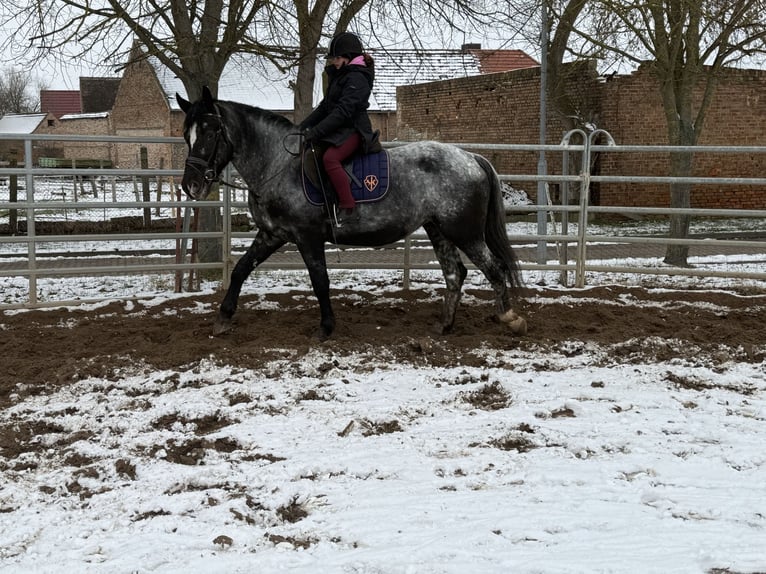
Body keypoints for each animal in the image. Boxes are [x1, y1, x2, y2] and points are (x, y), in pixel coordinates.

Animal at [178, 85, 528, 338]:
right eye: (186, 134)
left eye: (210, 131)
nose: (190, 185)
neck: (278, 165)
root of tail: (471, 157)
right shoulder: (272, 234)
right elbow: (240, 270)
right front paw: (223, 319)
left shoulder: (307, 237)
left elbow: (320, 280)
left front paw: (325, 328)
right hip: (438, 229)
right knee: (456, 273)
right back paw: (444, 325)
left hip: (464, 232)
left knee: (494, 269)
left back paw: (511, 319)